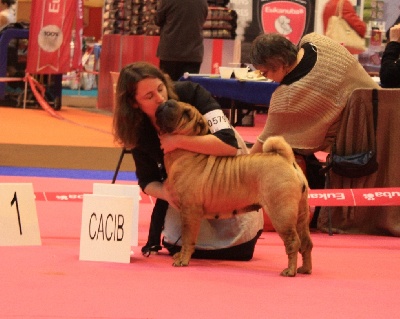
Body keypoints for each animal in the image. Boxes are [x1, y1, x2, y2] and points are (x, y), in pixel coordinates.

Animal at [155, 99, 312, 276]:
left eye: (187, 114)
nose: (168, 102)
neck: (186, 151)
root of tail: (287, 159)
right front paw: (179, 256)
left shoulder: (190, 212)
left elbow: (187, 239)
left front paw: (182, 260)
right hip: (301, 214)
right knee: (306, 243)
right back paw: (305, 269)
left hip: (281, 214)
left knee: (293, 242)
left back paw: (290, 271)